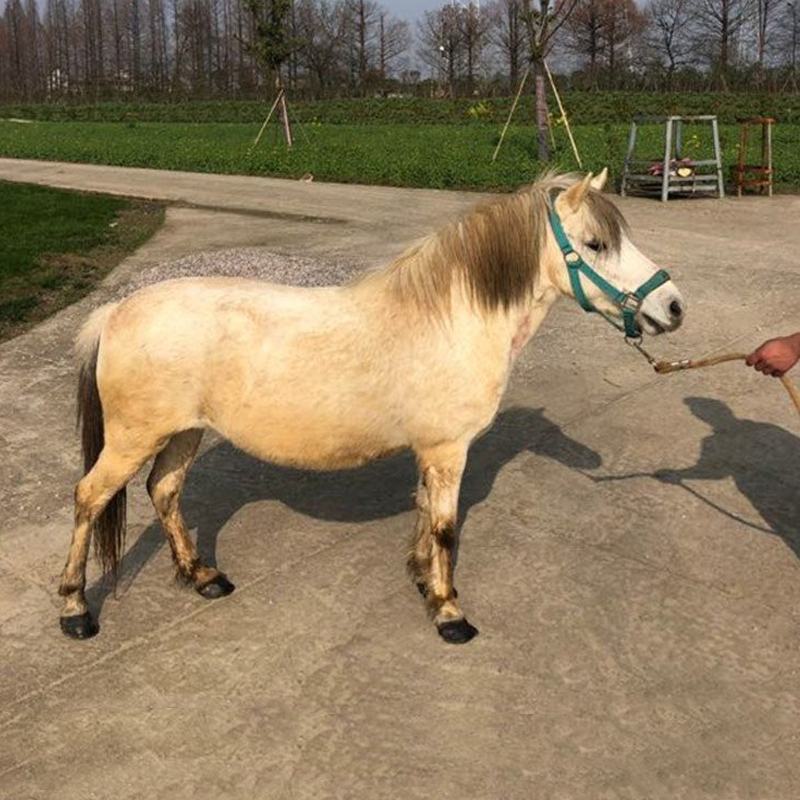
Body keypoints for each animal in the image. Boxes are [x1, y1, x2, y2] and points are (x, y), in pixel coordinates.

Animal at [58, 170, 685, 644]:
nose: (674, 306)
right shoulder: (448, 450)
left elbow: (424, 511)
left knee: (164, 491)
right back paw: (75, 610)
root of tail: (113, 312)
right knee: (90, 497)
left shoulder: (431, 451)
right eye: (596, 244)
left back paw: (202, 575)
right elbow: (446, 527)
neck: (452, 319)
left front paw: (422, 580)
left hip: (183, 432)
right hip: (133, 438)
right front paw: (449, 612)